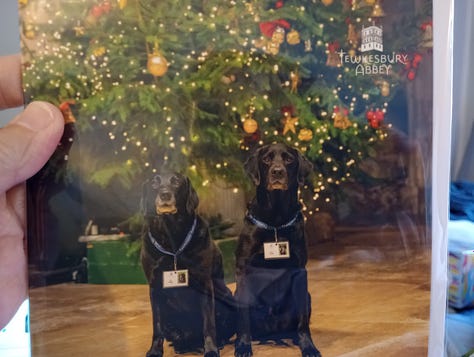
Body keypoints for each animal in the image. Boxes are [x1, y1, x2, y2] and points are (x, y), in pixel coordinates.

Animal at [141, 171, 237, 354]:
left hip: (226, 296)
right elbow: (156, 325)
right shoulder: (154, 286)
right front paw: (154, 351)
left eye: (176, 181)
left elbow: (208, 323)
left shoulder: (204, 282)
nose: (164, 194)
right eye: (154, 183)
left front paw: (211, 350)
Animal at [234, 143, 322, 356]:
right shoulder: (243, 270)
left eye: (289, 159)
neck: (276, 220)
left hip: (306, 295)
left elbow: (302, 319)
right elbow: (243, 316)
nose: (277, 172)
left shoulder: (300, 271)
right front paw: (243, 345)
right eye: (266, 159)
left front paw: (308, 346)